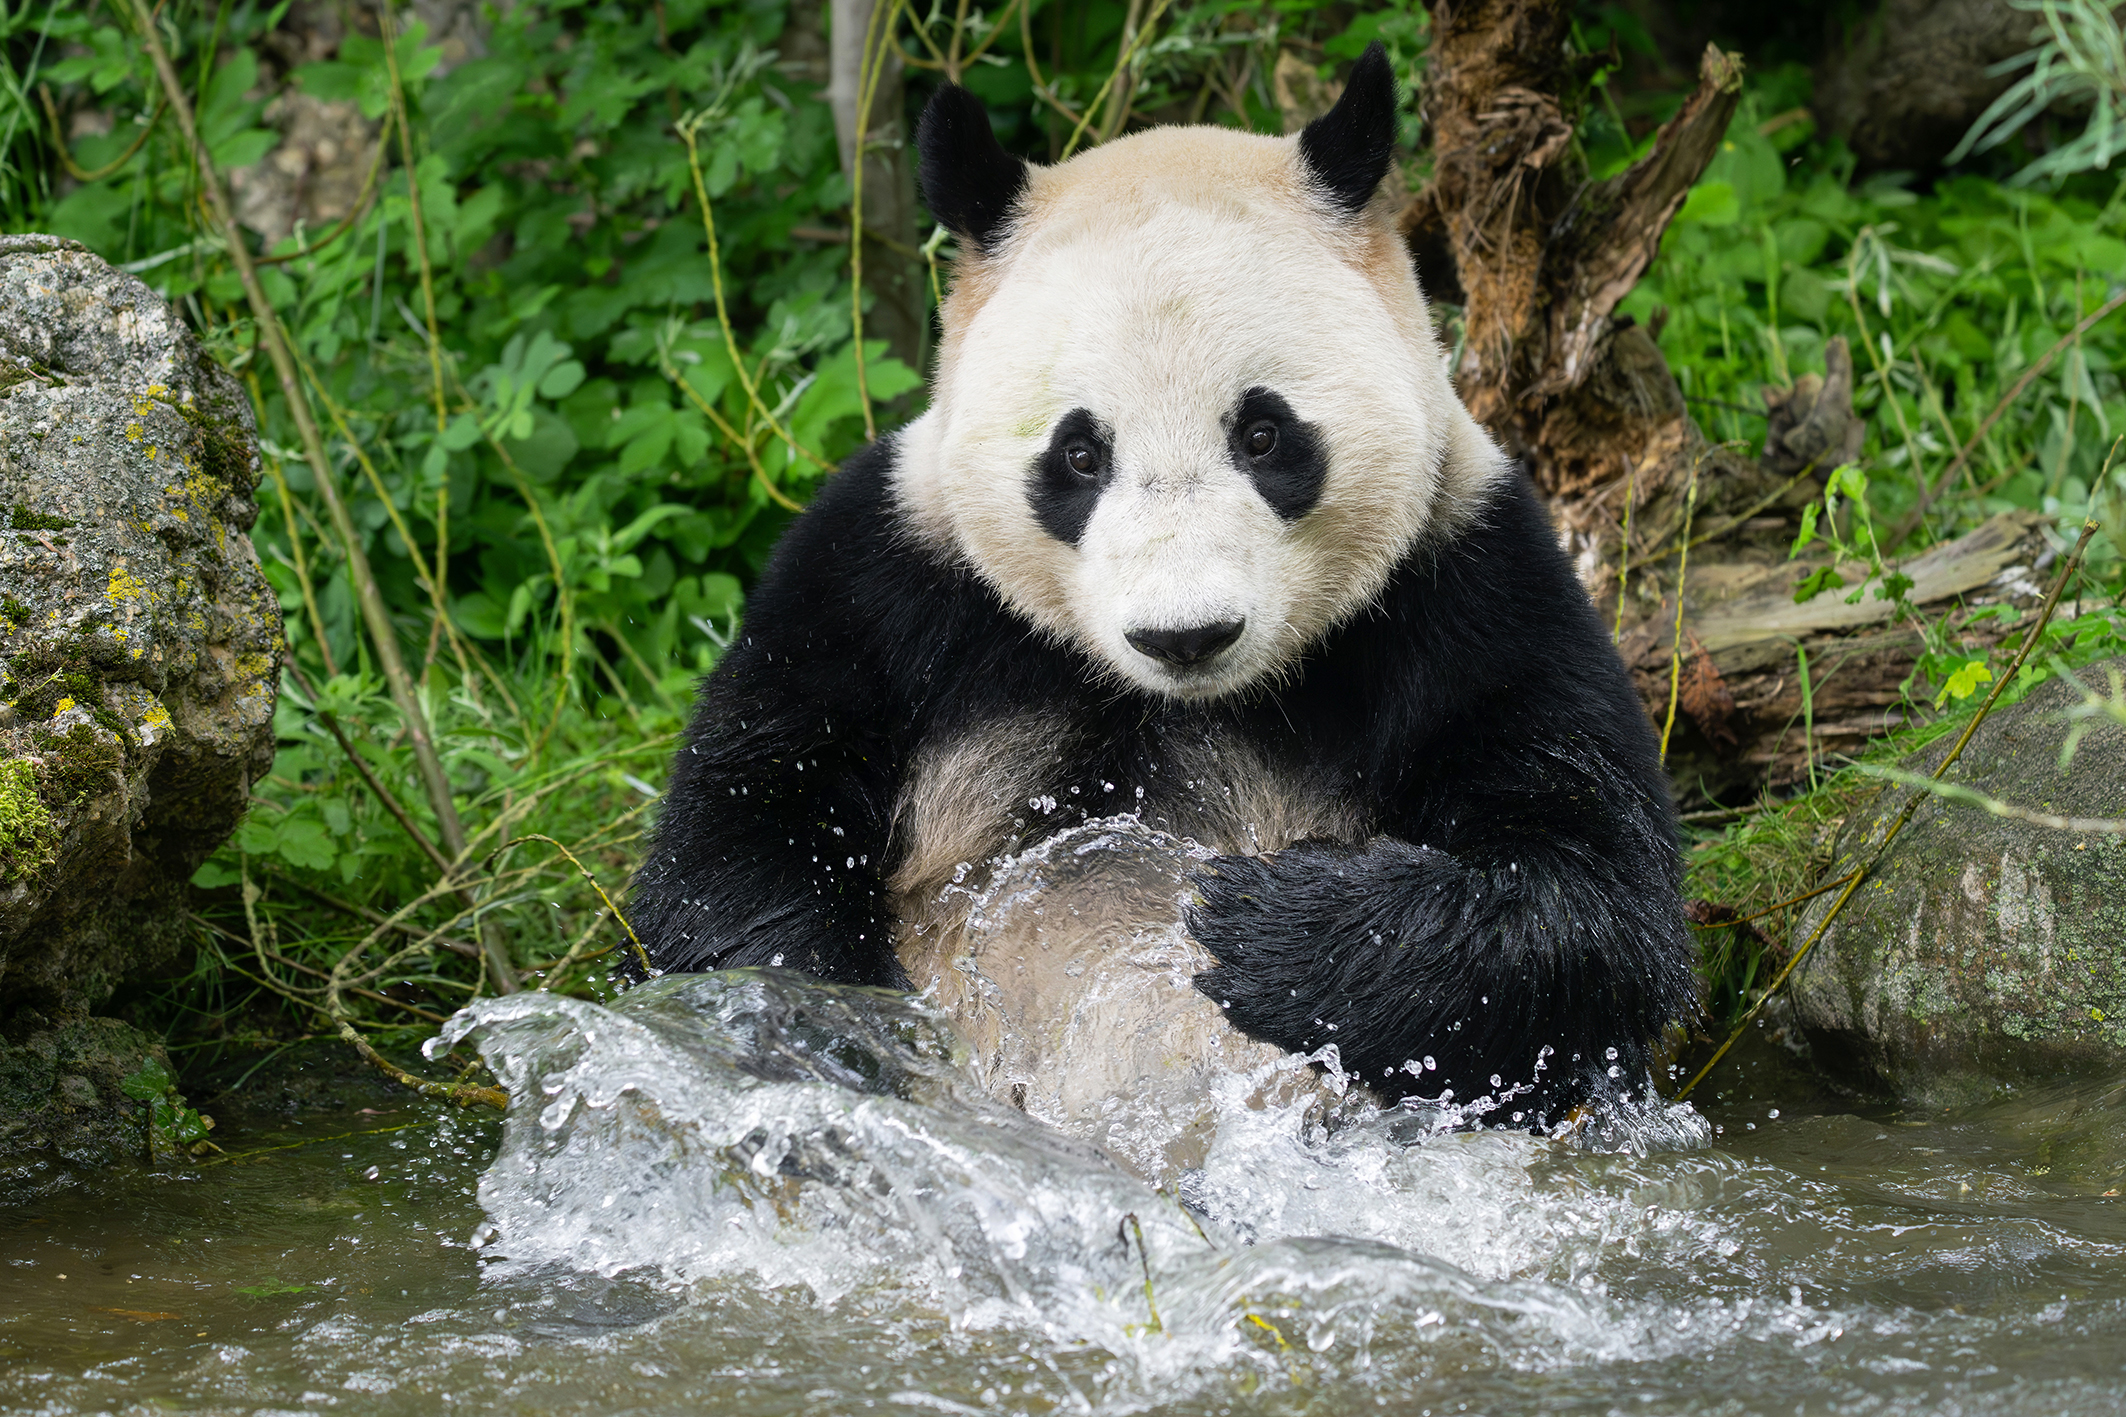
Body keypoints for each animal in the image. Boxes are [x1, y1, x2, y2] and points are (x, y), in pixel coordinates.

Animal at [627, 43, 1696, 1124]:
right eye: (1079, 453)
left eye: (1263, 434)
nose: (1186, 635)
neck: (1169, 700)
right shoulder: (881, 580)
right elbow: (742, 832)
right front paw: (834, 1020)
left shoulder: (1469, 587)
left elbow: (1589, 890)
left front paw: (1271, 920)